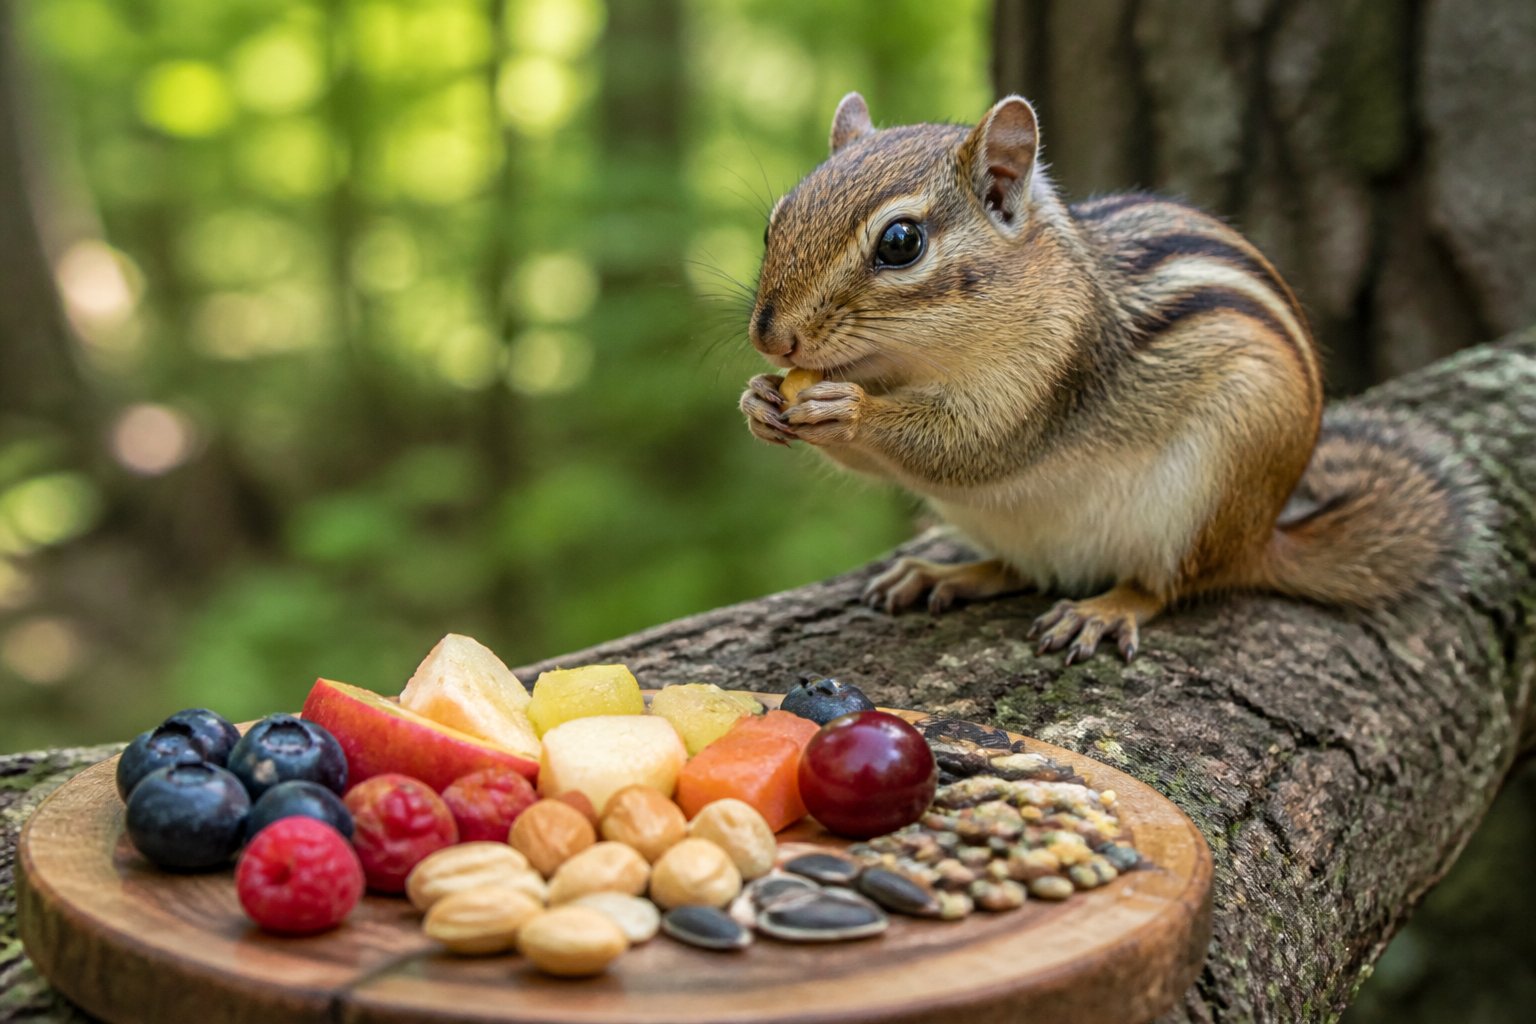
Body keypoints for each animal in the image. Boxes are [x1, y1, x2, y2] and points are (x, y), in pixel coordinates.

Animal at [739, 92, 1465, 663]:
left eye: (900, 243)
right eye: (775, 222)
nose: (771, 337)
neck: (911, 364)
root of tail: (1262, 539)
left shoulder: (1051, 372)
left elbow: (968, 448)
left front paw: (848, 409)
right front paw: (757, 401)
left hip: (1208, 495)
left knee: (1168, 585)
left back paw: (1104, 608)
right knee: (1023, 569)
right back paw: (946, 574)